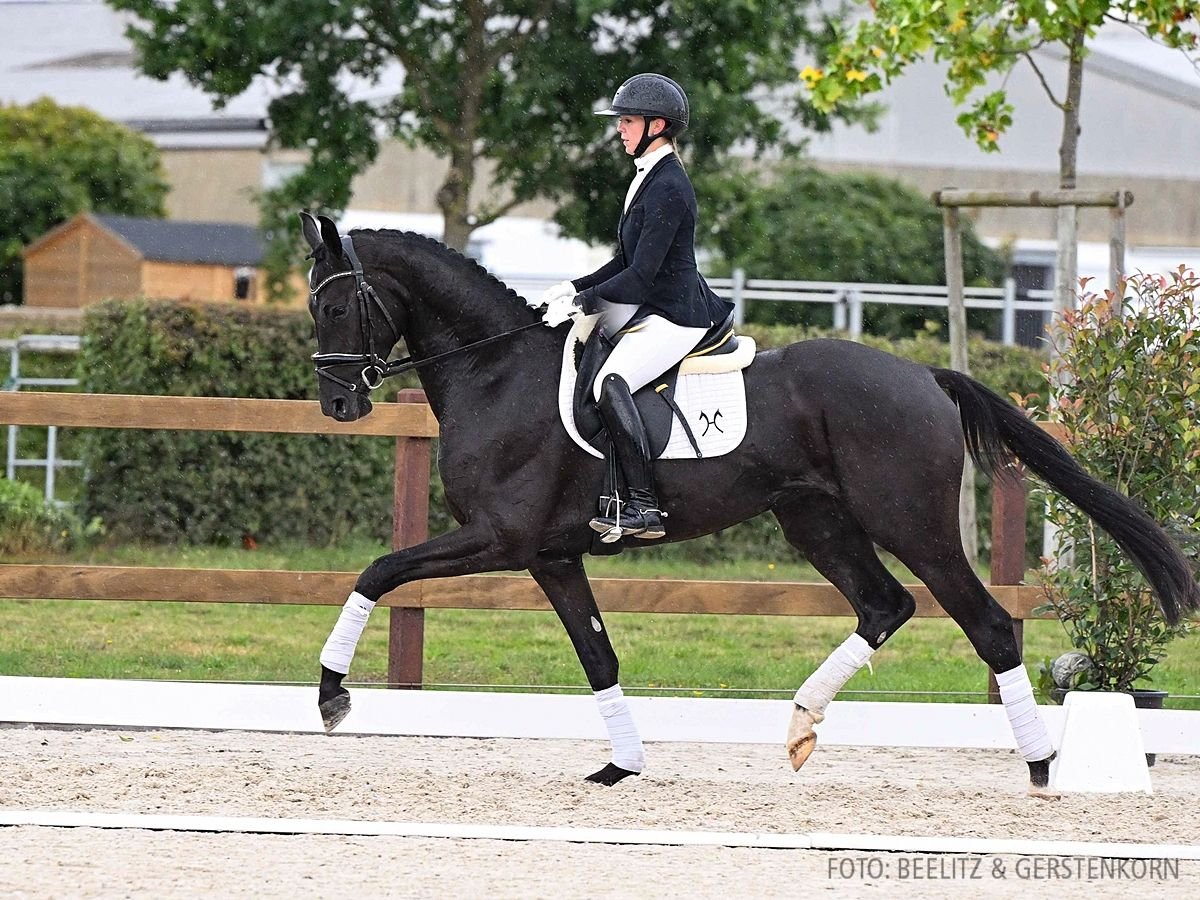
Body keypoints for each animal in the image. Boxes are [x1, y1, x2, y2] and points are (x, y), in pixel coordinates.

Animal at [297, 214, 1190, 792]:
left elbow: (378, 571)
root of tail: (923, 374)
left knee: (988, 624)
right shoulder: (551, 556)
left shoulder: (499, 538)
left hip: (913, 523)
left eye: (336, 305)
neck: (495, 371)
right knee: (884, 605)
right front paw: (622, 765)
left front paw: (333, 695)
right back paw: (800, 725)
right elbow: (599, 658)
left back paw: (1041, 764)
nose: (339, 405)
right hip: (816, 519)